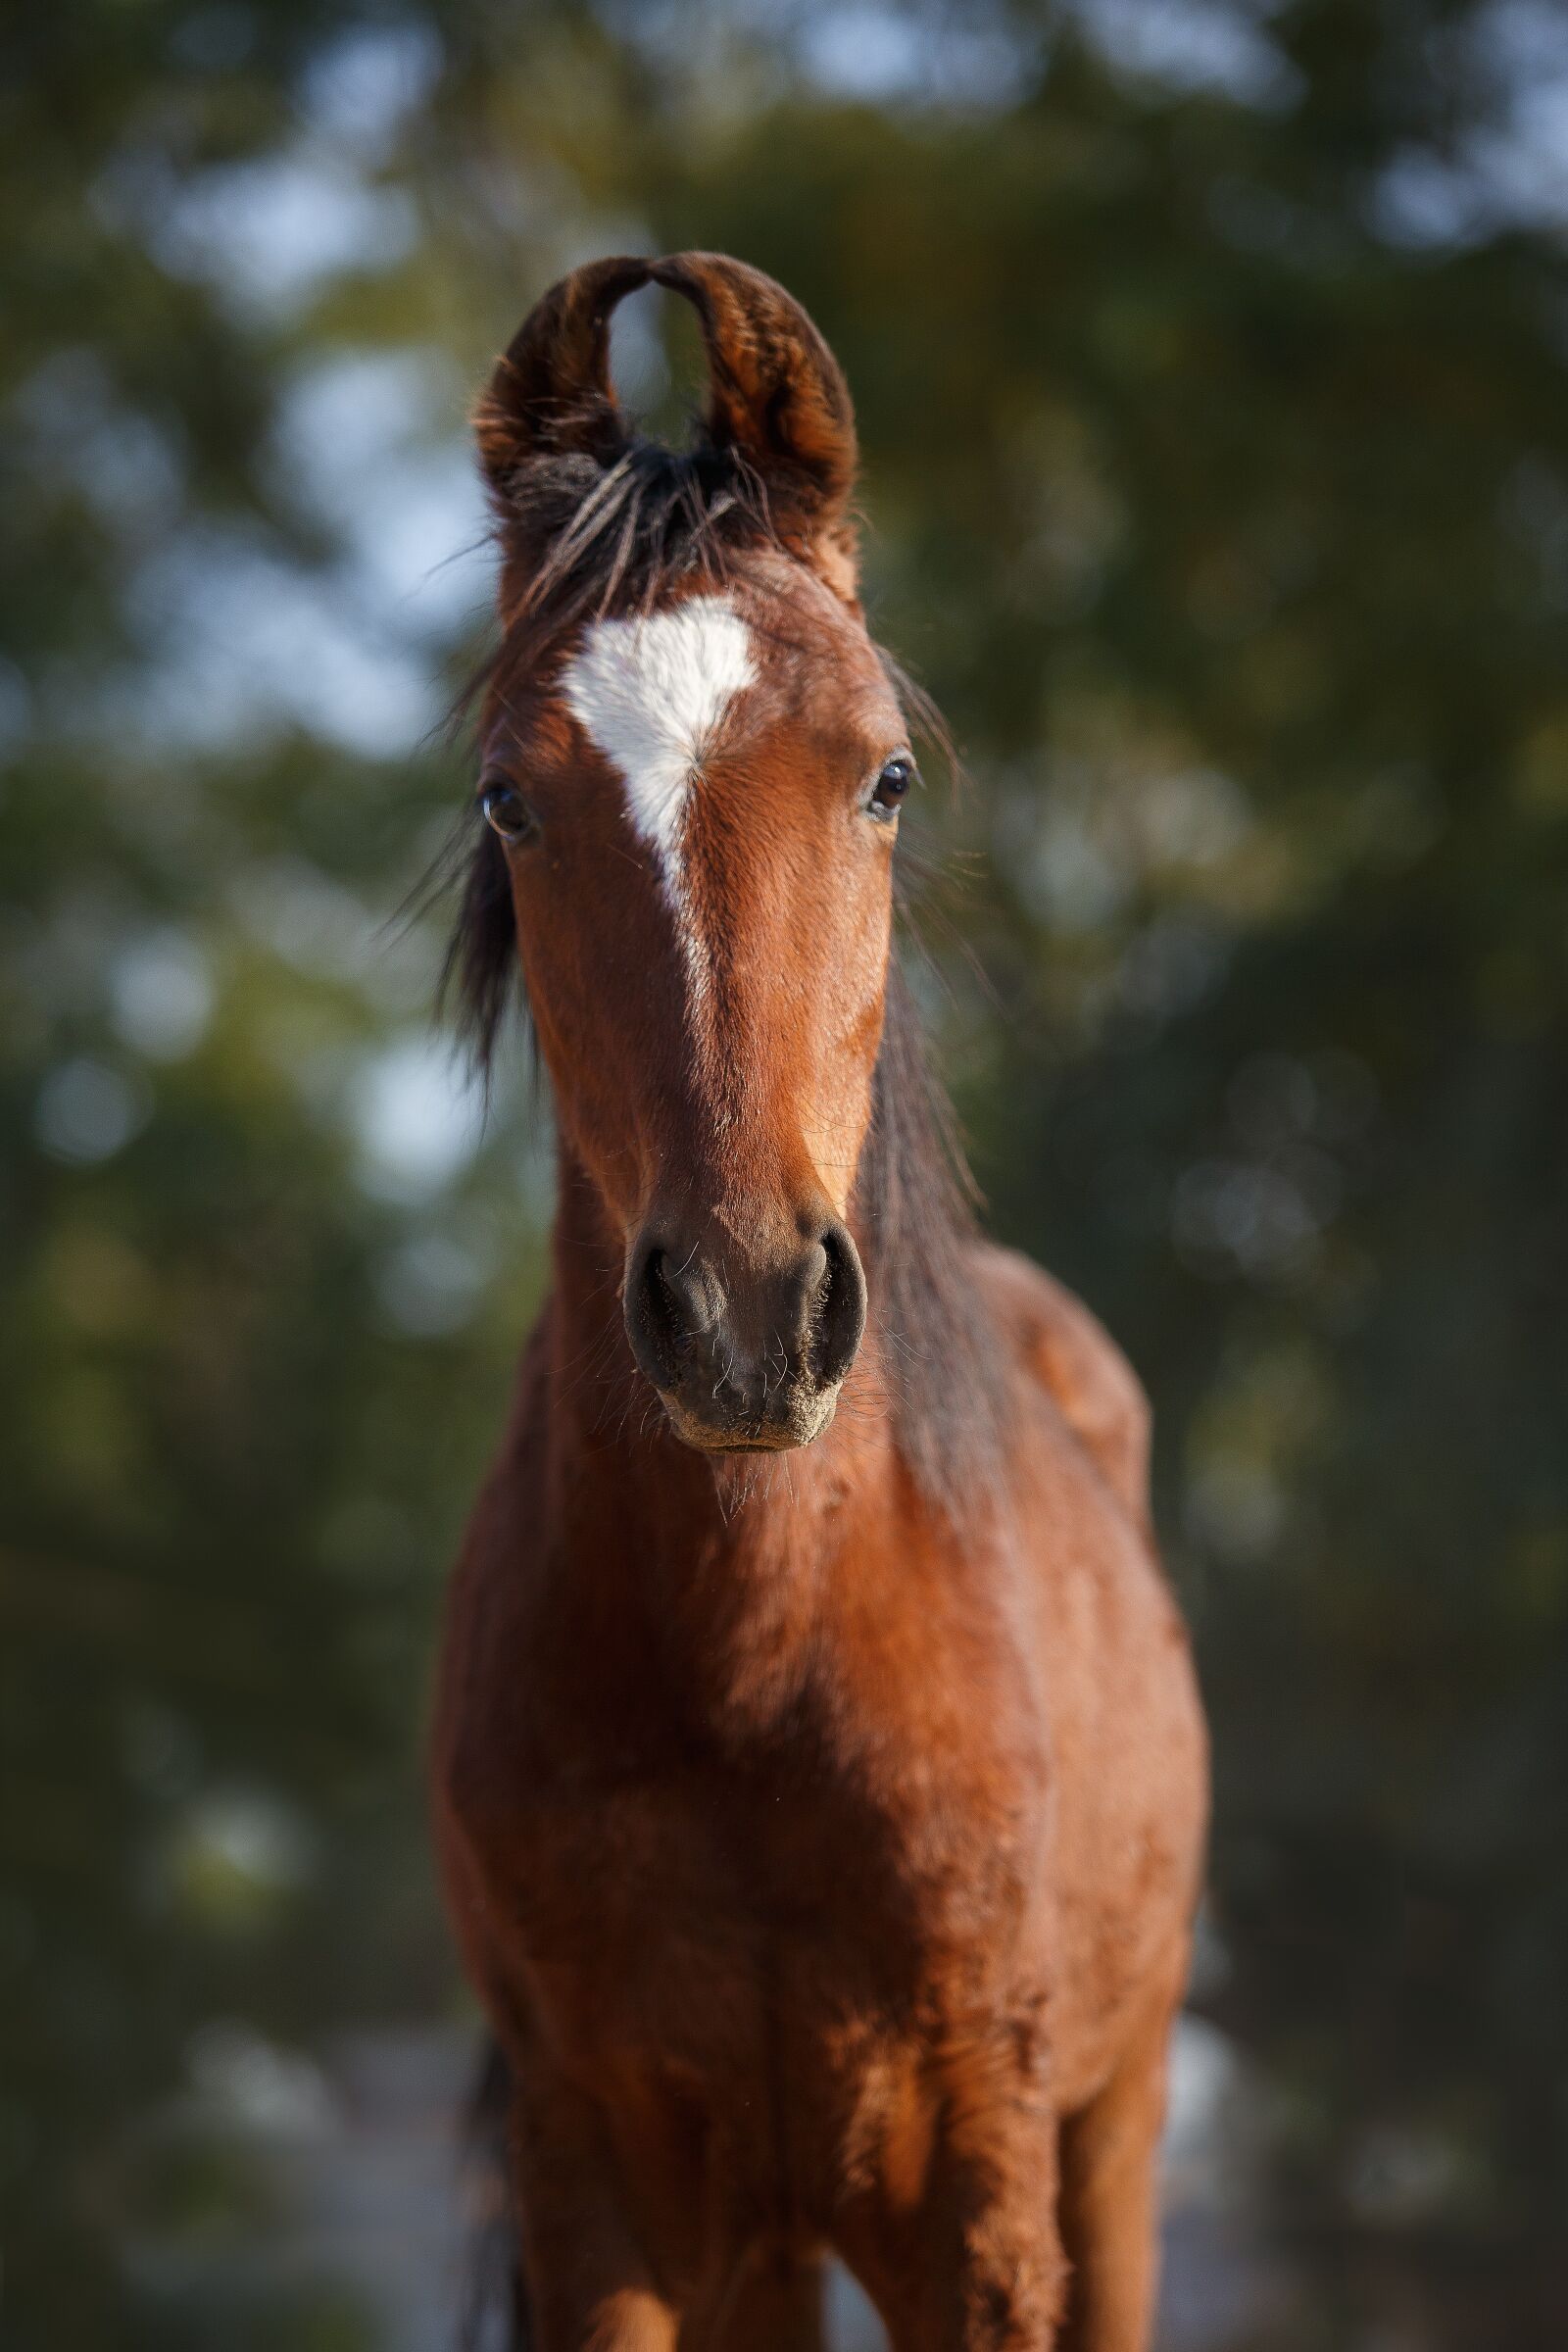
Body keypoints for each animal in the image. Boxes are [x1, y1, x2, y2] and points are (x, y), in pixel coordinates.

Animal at [431, 252, 1207, 2352]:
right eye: (511, 801)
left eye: (886, 775)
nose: (745, 1312)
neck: (754, 1655)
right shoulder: (598, 2179)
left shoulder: (978, 2193)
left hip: (1115, 2132)